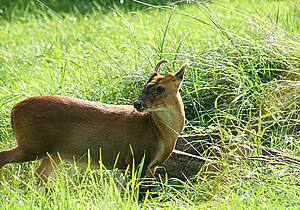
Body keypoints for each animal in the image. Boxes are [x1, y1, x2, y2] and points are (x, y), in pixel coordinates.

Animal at [0, 59, 188, 184]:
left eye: (159, 89)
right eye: (144, 86)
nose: (137, 103)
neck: (158, 131)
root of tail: (13, 110)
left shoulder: (151, 165)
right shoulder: (137, 158)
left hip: (55, 152)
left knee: (41, 175)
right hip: (32, 144)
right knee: (6, 158)